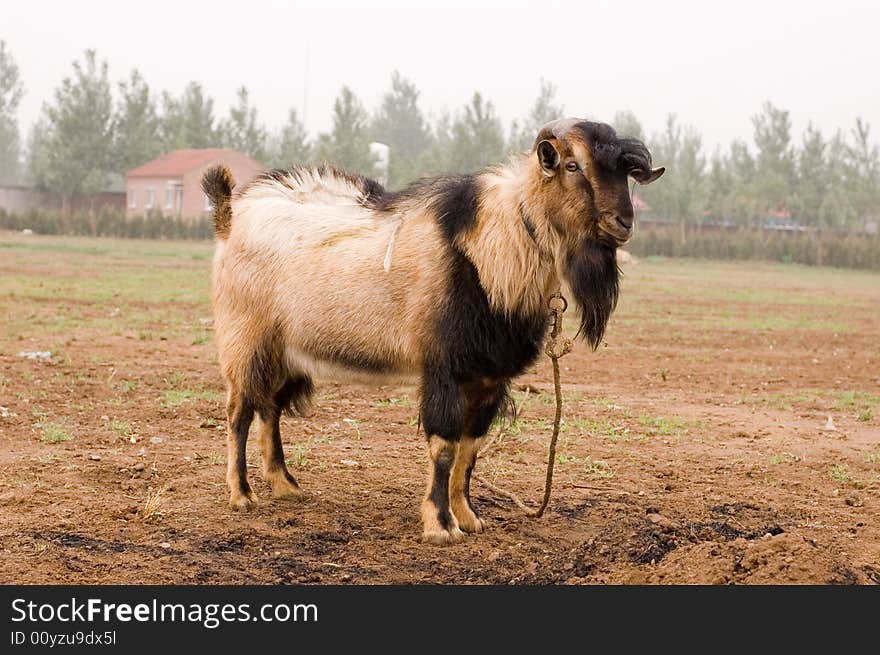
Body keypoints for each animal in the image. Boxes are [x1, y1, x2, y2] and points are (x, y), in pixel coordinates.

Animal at [203, 118, 664, 544]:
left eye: (623, 173)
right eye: (572, 165)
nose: (623, 222)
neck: (488, 250)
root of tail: (230, 218)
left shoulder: (488, 378)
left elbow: (470, 449)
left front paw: (469, 517)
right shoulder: (444, 368)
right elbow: (444, 447)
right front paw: (440, 525)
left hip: (284, 351)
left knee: (270, 408)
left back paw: (285, 486)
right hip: (246, 341)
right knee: (239, 413)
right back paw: (242, 494)